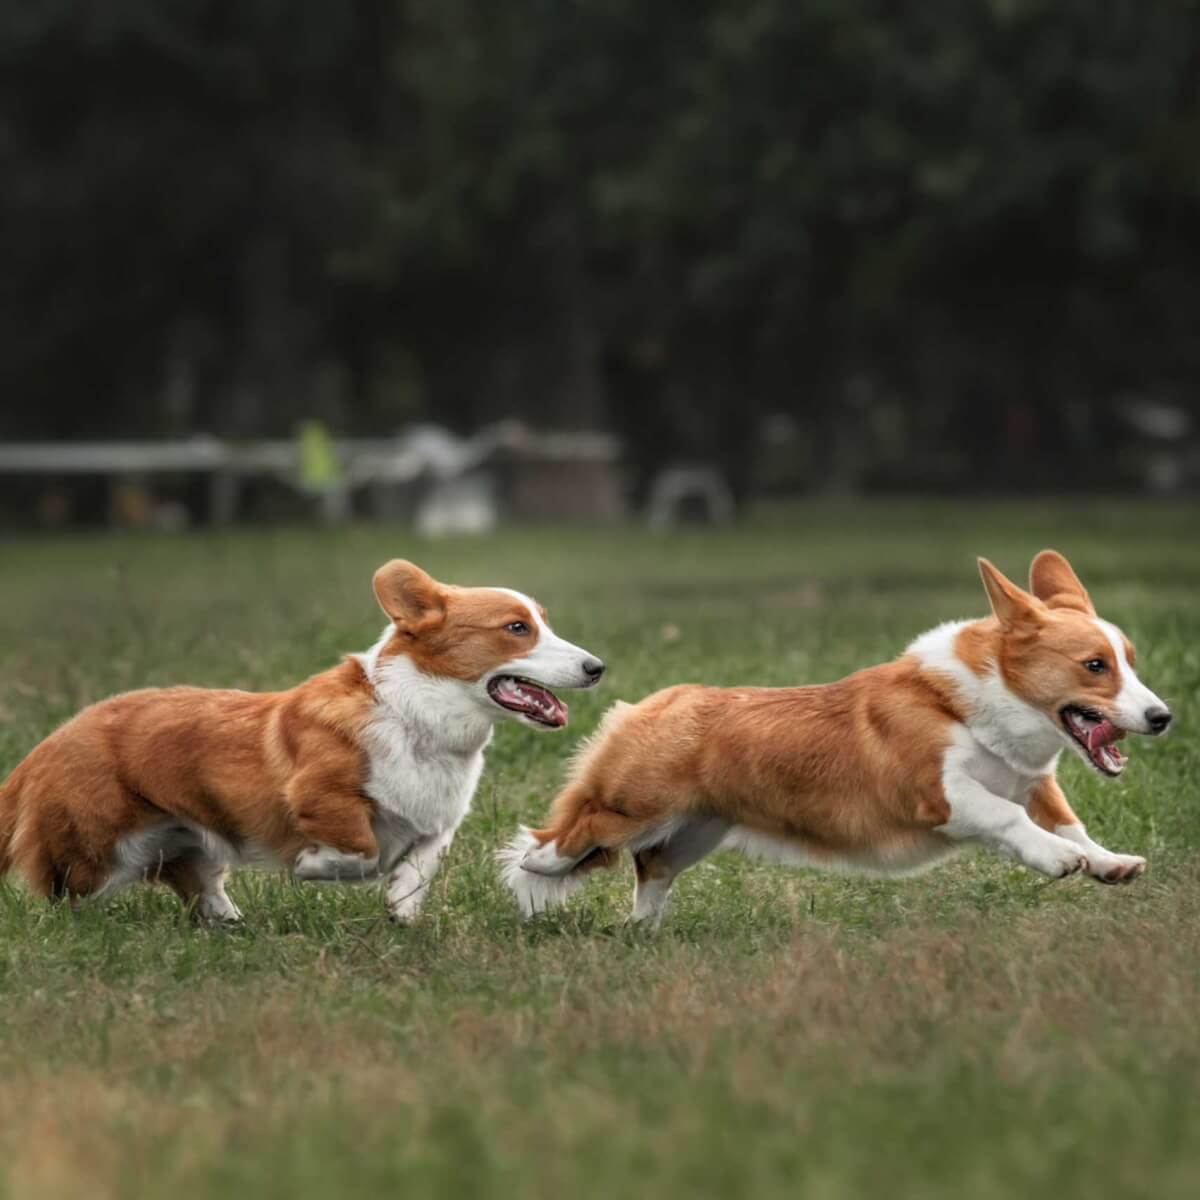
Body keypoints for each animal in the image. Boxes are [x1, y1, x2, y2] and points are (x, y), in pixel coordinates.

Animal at [0, 559, 600, 916]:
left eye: (542, 622)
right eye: (516, 629)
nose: (597, 667)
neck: (417, 715)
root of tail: (48, 744)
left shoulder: (438, 822)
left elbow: (420, 864)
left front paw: (402, 911)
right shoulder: (319, 796)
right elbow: (362, 849)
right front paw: (317, 867)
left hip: (187, 843)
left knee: (201, 890)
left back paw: (232, 925)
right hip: (97, 854)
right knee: (67, 894)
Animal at [499, 549, 1171, 921]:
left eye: (1131, 661)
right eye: (1094, 666)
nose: (1163, 717)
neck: (976, 703)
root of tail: (648, 703)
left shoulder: (1034, 782)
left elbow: (1068, 822)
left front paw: (1108, 863)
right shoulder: (940, 792)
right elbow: (1012, 821)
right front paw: (1060, 860)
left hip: (696, 830)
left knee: (652, 866)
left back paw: (644, 933)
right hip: (634, 806)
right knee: (569, 836)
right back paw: (535, 871)